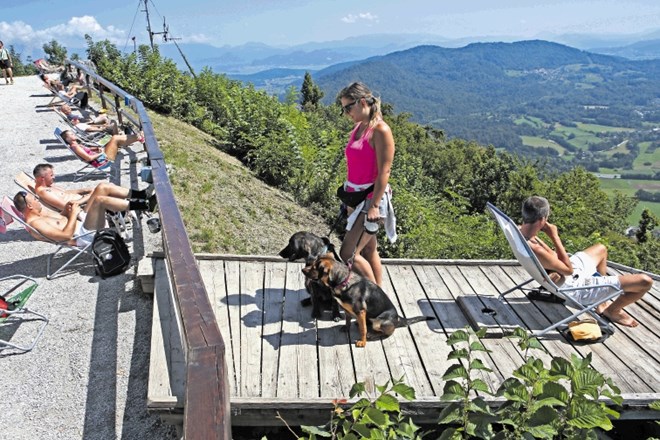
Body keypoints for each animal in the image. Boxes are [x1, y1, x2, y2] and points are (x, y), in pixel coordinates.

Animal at [302, 254, 436, 348]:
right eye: (312, 264)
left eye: (315, 267)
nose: (303, 270)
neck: (343, 281)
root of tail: (398, 318)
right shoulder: (347, 309)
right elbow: (348, 321)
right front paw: (346, 327)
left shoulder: (360, 311)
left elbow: (363, 329)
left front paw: (362, 342)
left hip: (379, 322)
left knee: (388, 332)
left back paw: (372, 334)